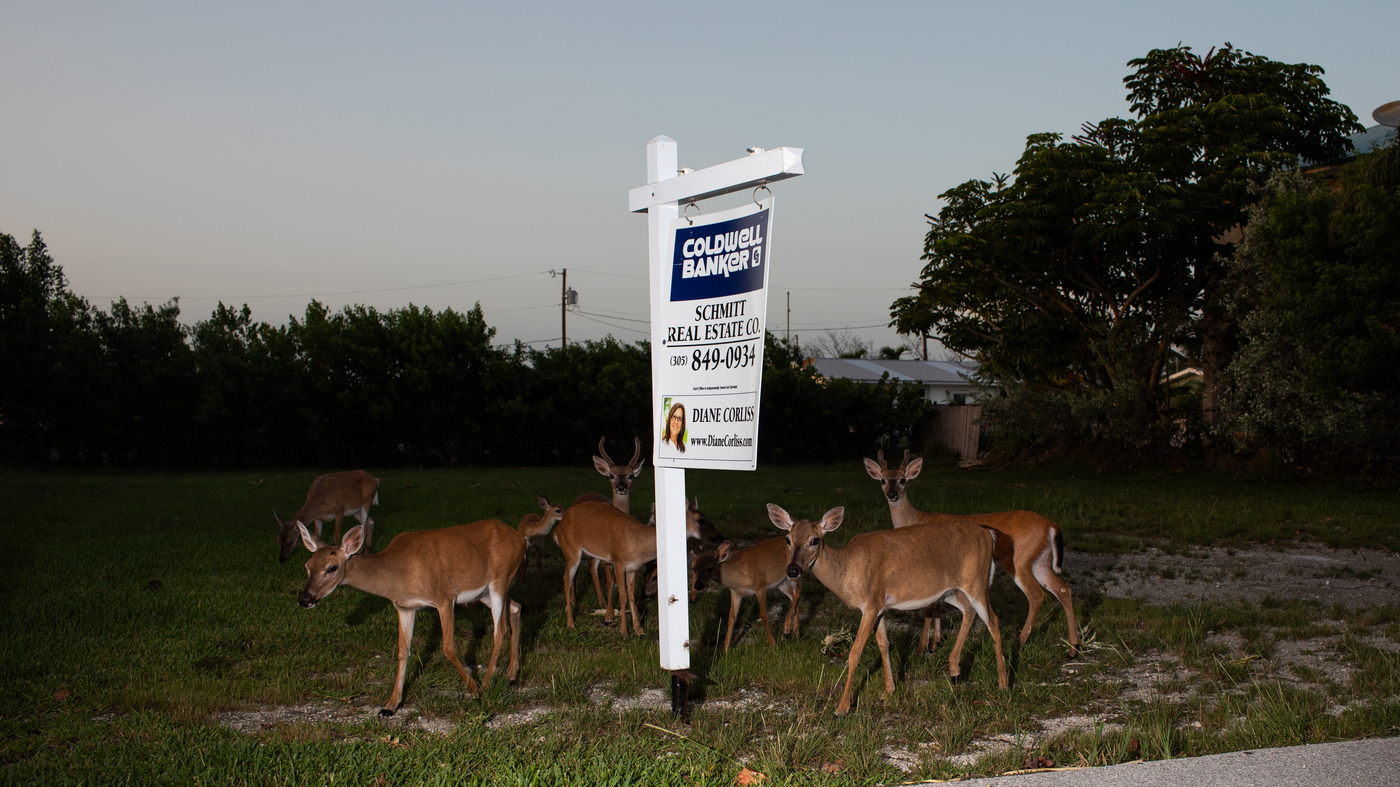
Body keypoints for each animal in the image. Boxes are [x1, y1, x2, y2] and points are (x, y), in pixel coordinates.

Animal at [296, 519, 525, 717]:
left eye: (332, 568)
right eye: (307, 566)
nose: (304, 598)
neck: (398, 575)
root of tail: (520, 538)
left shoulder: (444, 597)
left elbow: (448, 648)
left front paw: (474, 690)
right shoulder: (405, 607)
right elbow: (403, 652)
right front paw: (390, 705)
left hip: (499, 579)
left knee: (500, 631)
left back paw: (486, 683)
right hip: (485, 592)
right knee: (515, 607)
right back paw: (511, 675)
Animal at [554, 498, 715, 636]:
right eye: (700, 520)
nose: (718, 536)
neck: (637, 542)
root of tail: (557, 529)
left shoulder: (631, 568)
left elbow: (631, 595)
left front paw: (639, 630)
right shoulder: (619, 562)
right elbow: (622, 595)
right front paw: (624, 631)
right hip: (571, 550)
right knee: (566, 580)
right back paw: (571, 624)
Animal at [767, 503, 1007, 715]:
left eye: (815, 540)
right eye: (788, 539)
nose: (793, 569)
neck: (848, 572)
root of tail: (988, 536)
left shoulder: (870, 604)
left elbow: (855, 653)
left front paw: (842, 708)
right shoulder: (880, 607)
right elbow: (884, 645)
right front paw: (888, 691)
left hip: (976, 581)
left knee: (994, 621)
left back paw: (1003, 684)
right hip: (950, 591)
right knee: (969, 610)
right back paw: (955, 671)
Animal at [865, 449, 1079, 656]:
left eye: (903, 480)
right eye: (883, 480)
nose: (892, 494)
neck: (916, 519)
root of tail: (1051, 525)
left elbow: (930, 607)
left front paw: (922, 648)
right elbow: (938, 605)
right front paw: (935, 643)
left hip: (1019, 561)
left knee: (1036, 595)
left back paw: (1021, 641)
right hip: (1040, 561)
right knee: (1063, 589)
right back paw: (1073, 648)